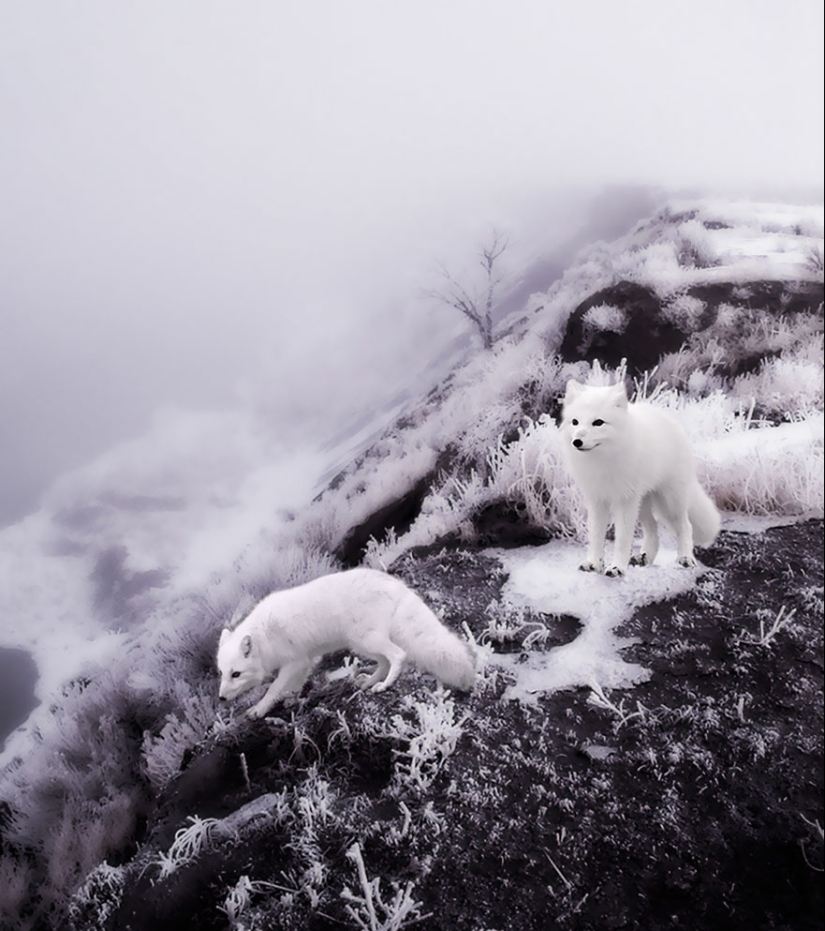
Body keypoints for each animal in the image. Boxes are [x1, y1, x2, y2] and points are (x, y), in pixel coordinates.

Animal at [217, 567, 476, 719]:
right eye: (222, 673)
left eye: (236, 674)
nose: (220, 699)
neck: (264, 638)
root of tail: (394, 583)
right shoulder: (306, 661)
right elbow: (294, 685)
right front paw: (291, 700)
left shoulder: (294, 661)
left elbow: (274, 688)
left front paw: (259, 709)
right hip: (360, 643)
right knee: (384, 661)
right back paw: (368, 682)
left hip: (365, 639)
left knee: (398, 655)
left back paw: (384, 685)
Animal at [560, 379, 720, 577]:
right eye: (575, 422)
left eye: (598, 422)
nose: (577, 442)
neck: (603, 462)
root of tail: (670, 421)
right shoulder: (597, 500)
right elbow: (596, 536)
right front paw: (593, 564)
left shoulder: (624, 500)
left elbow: (622, 539)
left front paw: (617, 568)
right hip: (642, 503)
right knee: (653, 530)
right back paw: (644, 557)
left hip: (670, 501)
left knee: (685, 525)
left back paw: (685, 557)